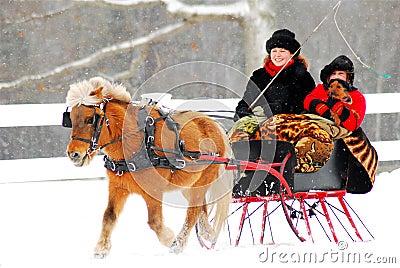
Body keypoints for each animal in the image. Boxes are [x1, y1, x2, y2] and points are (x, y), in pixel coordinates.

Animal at [65, 76, 234, 256]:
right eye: (71, 119)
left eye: (90, 120)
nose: (73, 154)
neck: (138, 141)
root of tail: (214, 124)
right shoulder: (118, 186)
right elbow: (109, 216)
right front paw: (101, 248)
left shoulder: (154, 191)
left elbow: (154, 221)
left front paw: (170, 239)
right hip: (189, 183)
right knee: (201, 208)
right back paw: (208, 233)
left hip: (203, 180)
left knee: (193, 211)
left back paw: (180, 243)